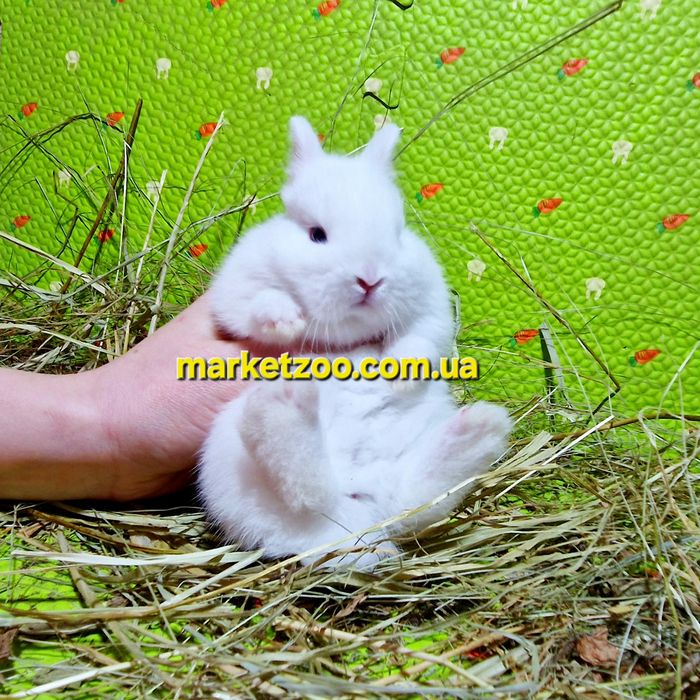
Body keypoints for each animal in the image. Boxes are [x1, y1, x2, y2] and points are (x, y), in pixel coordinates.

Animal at [198, 116, 512, 569]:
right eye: (316, 235)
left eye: (397, 233)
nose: (370, 279)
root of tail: (358, 506)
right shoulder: (235, 292)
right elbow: (258, 305)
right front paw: (286, 319)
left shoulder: (431, 307)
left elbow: (421, 338)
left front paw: (400, 375)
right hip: (230, 455)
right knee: (304, 488)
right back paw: (285, 404)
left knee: (408, 496)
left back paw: (480, 428)